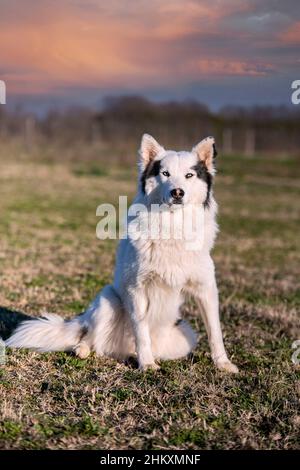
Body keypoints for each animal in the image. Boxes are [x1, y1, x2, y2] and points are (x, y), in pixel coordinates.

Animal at [6, 134, 239, 372]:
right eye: (165, 174)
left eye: (189, 175)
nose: (177, 192)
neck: (171, 226)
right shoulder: (137, 289)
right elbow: (141, 331)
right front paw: (147, 364)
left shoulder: (206, 290)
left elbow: (215, 332)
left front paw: (223, 364)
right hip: (108, 300)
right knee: (90, 337)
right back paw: (84, 350)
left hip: (186, 336)